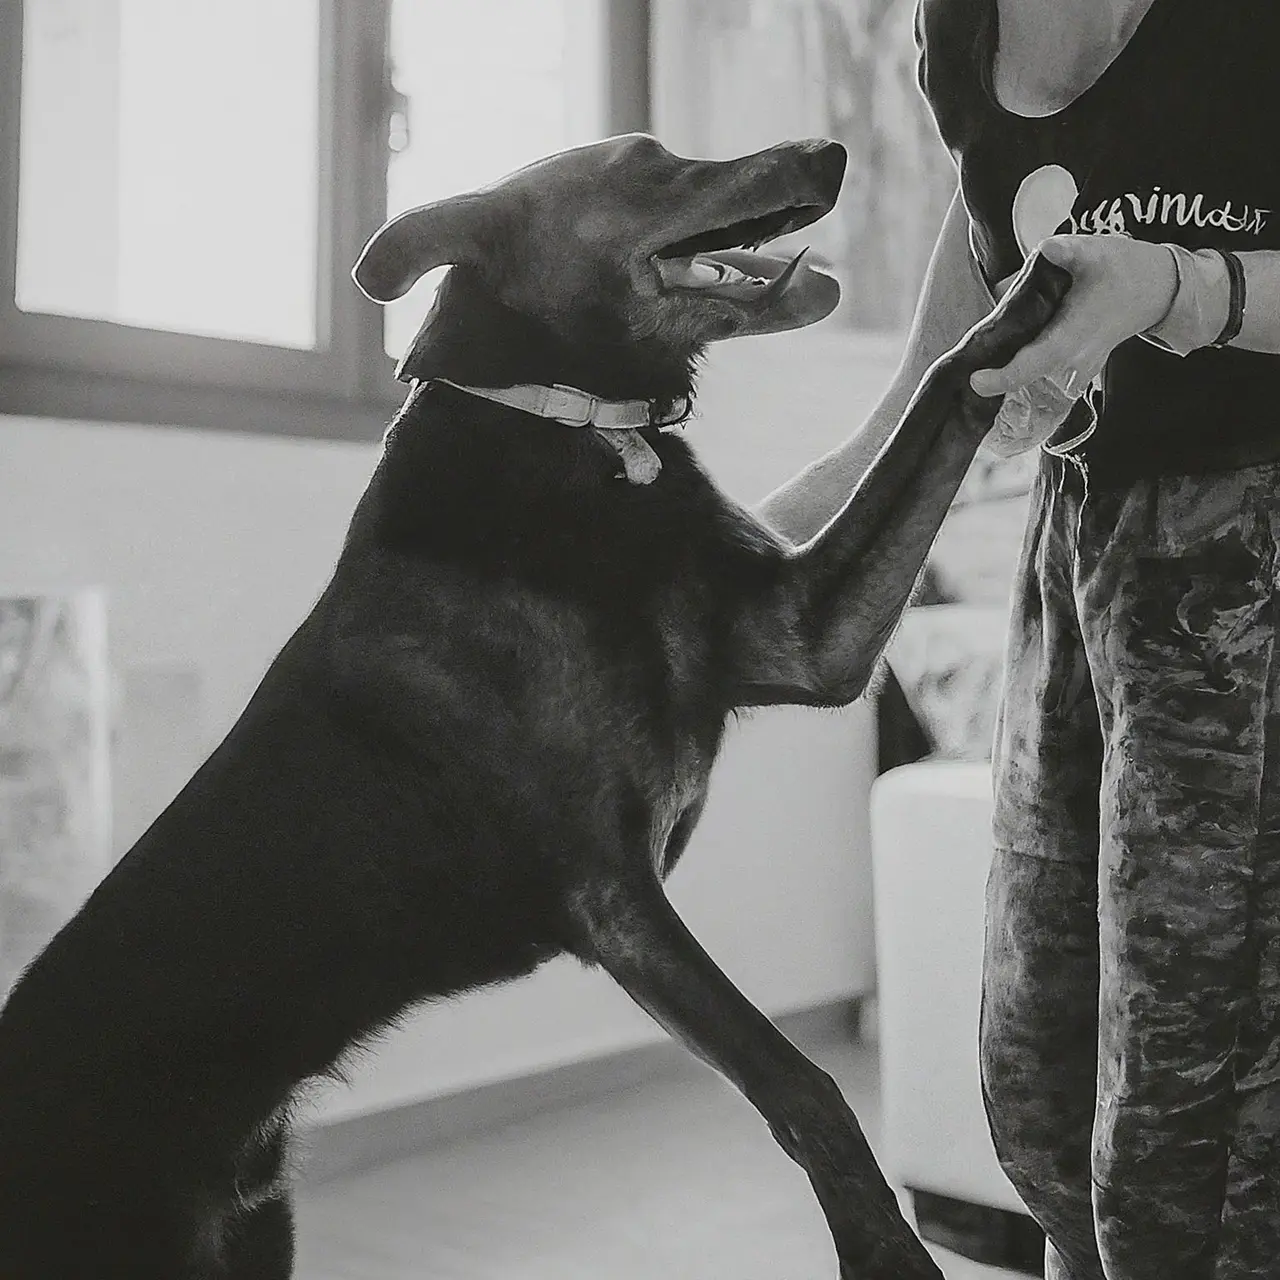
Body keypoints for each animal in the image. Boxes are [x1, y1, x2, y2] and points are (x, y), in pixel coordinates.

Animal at [0, 135, 1064, 1274]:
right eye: (645, 163)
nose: (826, 151)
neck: (581, 430)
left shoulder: (808, 641)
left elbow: (945, 391)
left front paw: (1024, 301)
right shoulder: (611, 892)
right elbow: (800, 1084)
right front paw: (882, 1249)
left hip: (251, 1231)